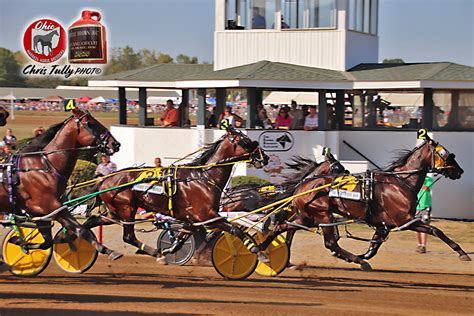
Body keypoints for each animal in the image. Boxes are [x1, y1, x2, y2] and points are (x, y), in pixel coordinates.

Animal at [0, 108, 122, 260]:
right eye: (90, 123)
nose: (115, 144)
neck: (45, 166)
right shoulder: (52, 206)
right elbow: (80, 230)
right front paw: (108, 251)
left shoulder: (43, 211)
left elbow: (47, 241)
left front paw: (20, 242)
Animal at [83, 128, 268, 260]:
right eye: (245, 140)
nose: (264, 157)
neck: (204, 177)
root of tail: (105, 179)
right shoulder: (208, 216)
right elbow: (236, 230)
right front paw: (259, 251)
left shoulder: (194, 219)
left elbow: (180, 240)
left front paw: (168, 250)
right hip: (126, 208)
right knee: (128, 237)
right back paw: (152, 252)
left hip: (114, 212)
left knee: (92, 221)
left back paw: (101, 247)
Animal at [276, 135, 468, 270]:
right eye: (445, 153)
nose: (460, 170)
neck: (401, 182)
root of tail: (302, 185)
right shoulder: (405, 221)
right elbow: (436, 230)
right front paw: (462, 253)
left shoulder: (384, 225)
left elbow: (373, 248)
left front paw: (362, 255)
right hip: (323, 215)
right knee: (329, 242)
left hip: (308, 216)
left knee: (286, 227)